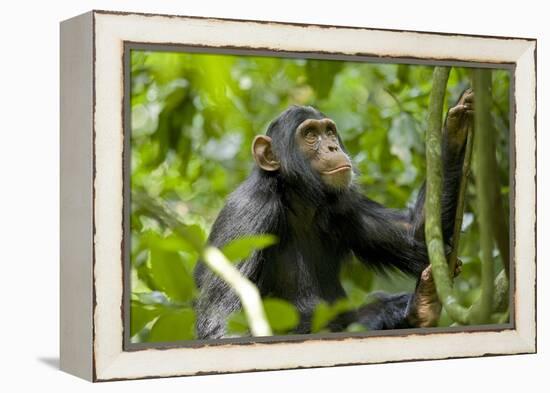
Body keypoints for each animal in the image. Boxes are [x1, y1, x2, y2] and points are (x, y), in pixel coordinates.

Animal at [196, 88, 476, 336]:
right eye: (310, 134)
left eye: (329, 132)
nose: (332, 147)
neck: (296, 199)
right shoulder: (248, 214)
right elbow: (225, 325)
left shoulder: (345, 205)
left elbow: (415, 235)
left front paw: (456, 123)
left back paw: (420, 306)